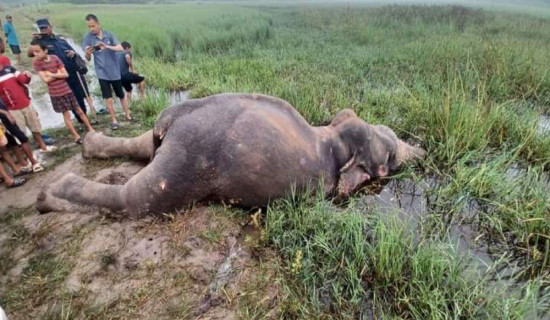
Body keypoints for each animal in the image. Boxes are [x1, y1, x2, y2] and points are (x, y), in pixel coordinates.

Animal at [36, 92, 430, 218]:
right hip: (187, 159)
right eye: (390, 160)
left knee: (143, 150)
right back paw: (49, 196)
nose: (423, 149)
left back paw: (83, 153)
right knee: (135, 200)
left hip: (175, 149)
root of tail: (173, 117)